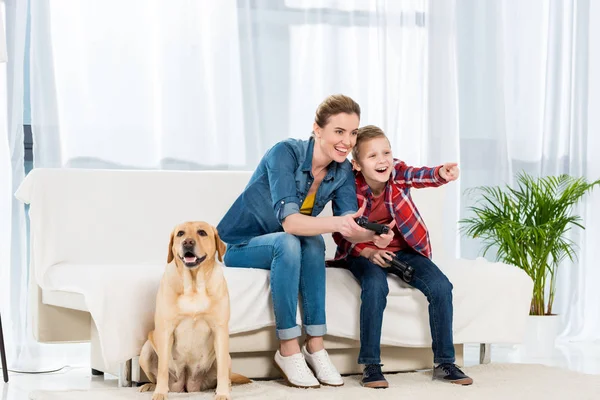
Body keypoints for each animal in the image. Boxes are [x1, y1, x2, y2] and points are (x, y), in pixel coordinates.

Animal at [139, 222, 251, 400]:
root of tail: (187, 385)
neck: (193, 286)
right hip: (146, 350)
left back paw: (224, 387)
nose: (188, 242)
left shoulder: (220, 330)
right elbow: (162, 369)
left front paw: (222, 393)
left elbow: (222, 372)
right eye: (180, 233)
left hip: (226, 356)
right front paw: (160, 393)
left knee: (225, 374)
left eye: (202, 232)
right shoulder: (166, 330)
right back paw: (150, 386)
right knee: (156, 375)